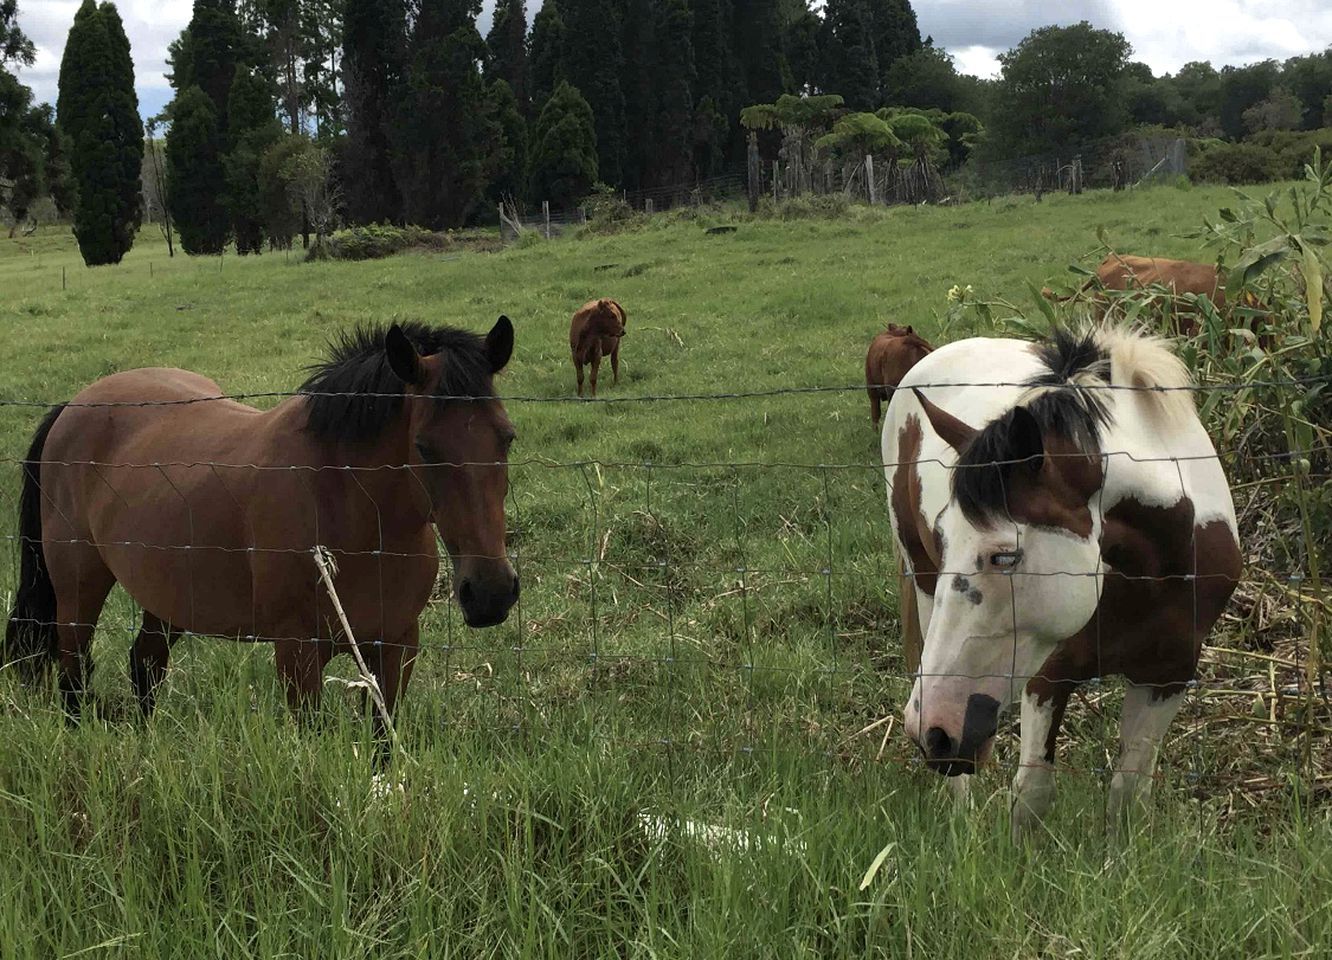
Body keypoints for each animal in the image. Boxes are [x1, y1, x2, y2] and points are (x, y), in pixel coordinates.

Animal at [4, 317, 520, 748]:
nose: (491, 592)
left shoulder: (395, 648)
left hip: (168, 598)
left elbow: (382, 744)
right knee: (73, 671)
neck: (345, 505)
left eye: (507, 437)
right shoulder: (298, 655)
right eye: (424, 447)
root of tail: (73, 408)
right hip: (79, 590)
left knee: (145, 664)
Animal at [883, 325, 1240, 839]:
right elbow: (1031, 796)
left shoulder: (1168, 675)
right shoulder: (1048, 677)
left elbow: (1128, 795)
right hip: (924, 584)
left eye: (1004, 555)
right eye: (945, 539)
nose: (930, 729)